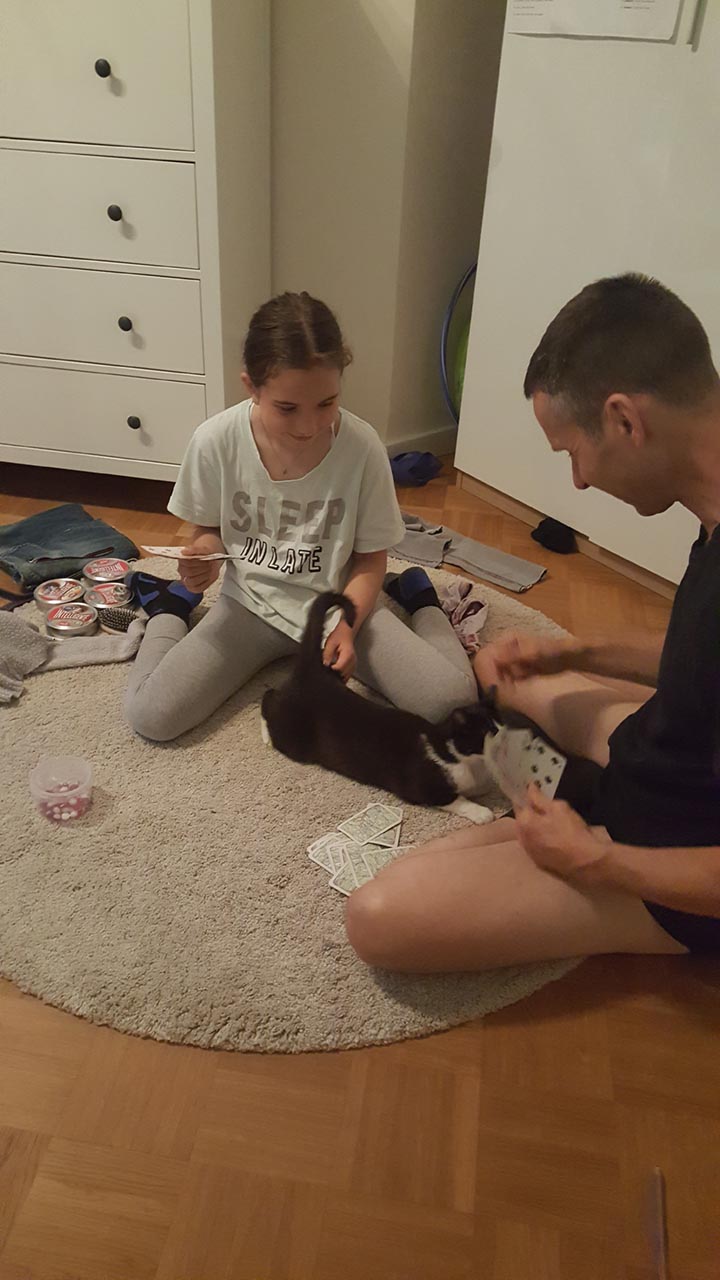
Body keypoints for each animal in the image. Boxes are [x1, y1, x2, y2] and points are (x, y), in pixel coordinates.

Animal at [261, 591, 498, 821]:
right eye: (486, 732)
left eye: (500, 725)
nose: (500, 737)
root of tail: (312, 670)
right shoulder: (422, 786)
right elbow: (457, 799)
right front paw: (483, 812)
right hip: (294, 738)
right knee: (268, 698)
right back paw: (266, 736)